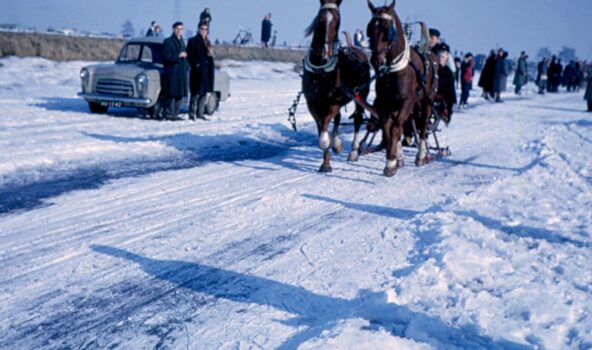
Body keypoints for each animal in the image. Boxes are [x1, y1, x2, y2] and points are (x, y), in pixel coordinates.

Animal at [306, 0, 370, 173]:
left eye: (337, 21)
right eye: (320, 19)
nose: (324, 54)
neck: (321, 72)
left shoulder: (333, 102)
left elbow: (325, 132)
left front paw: (335, 146)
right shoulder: (313, 103)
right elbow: (322, 128)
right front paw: (326, 162)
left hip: (360, 95)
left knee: (357, 120)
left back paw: (353, 151)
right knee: (339, 118)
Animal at [368, 0, 438, 176]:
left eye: (387, 29)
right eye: (370, 28)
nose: (376, 61)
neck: (393, 70)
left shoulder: (407, 101)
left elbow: (396, 128)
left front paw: (390, 163)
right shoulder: (385, 104)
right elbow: (388, 129)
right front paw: (393, 161)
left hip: (427, 100)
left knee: (423, 126)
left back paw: (421, 156)